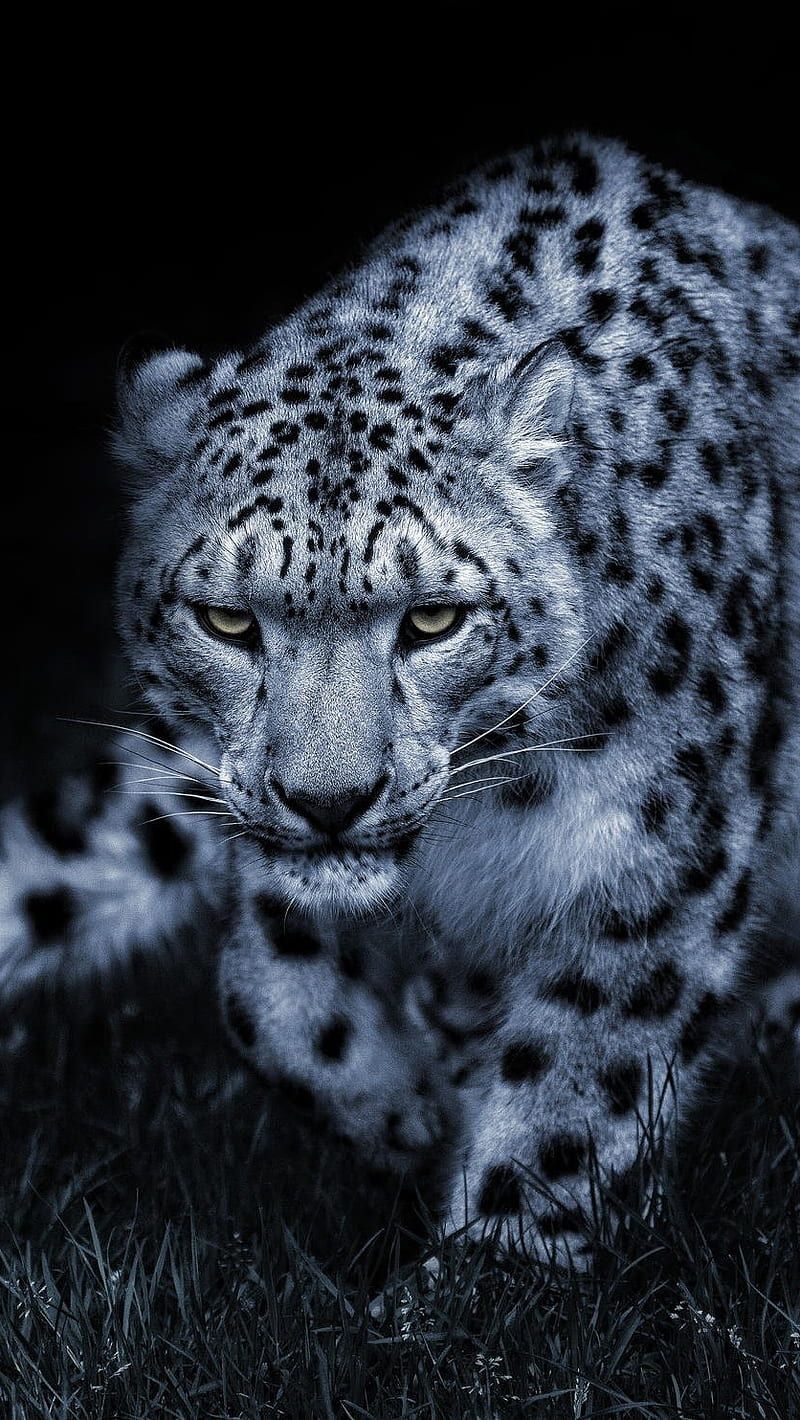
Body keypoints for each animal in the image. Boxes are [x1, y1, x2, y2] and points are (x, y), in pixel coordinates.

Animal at [1, 134, 798, 1266]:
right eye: (227, 621)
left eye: (431, 619)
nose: (330, 802)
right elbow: (267, 987)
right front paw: (399, 1107)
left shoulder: (659, 851)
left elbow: (577, 1076)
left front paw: (492, 1265)